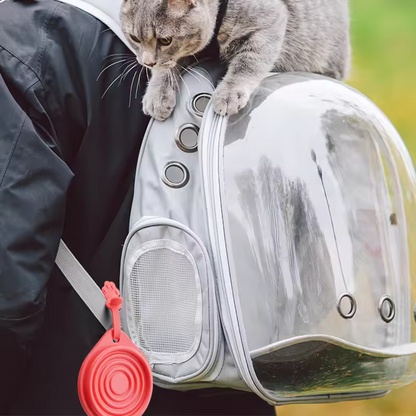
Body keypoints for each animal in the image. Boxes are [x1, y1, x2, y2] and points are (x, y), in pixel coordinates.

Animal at [118, 0, 350, 120]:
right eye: (135, 38)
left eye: (165, 40)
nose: (147, 62)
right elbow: (166, 69)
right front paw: (157, 95)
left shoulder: (267, 24)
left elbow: (246, 65)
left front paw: (229, 94)